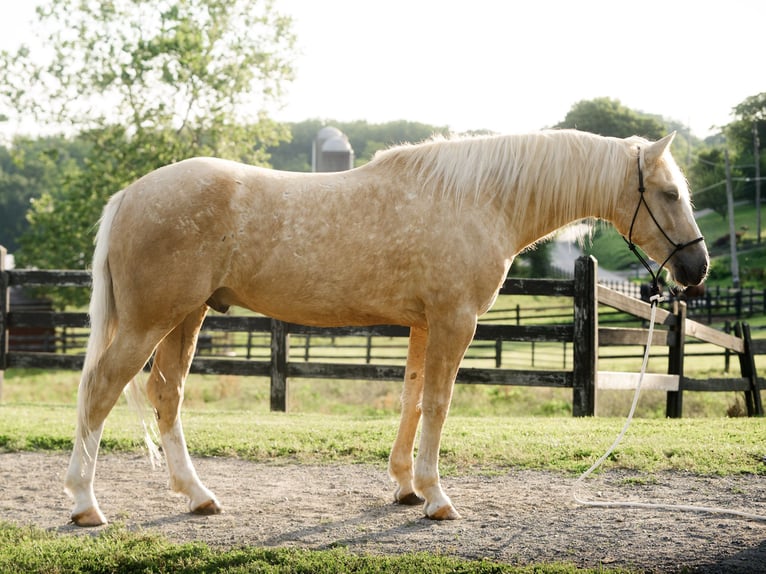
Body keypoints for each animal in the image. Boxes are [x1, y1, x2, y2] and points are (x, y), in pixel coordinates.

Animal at [65, 129, 709, 526]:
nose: (696, 270)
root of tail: (129, 195)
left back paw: (198, 496)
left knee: (165, 393)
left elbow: (412, 399)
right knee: (100, 391)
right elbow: (440, 403)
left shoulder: (425, 324)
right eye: (669, 193)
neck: (481, 199)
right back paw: (85, 504)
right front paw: (437, 498)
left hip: (188, 316)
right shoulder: (455, 320)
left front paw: (405, 487)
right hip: (152, 322)